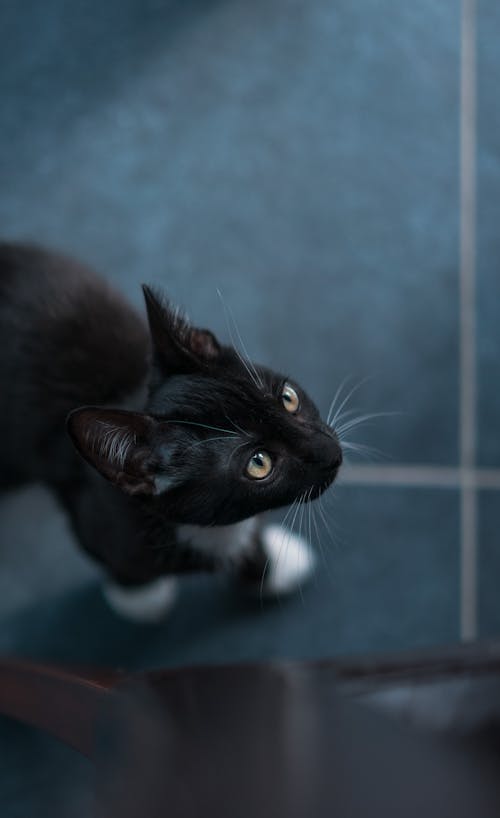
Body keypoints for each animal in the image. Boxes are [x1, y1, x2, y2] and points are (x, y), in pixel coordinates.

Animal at [0, 242, 342, 620]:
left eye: (288, 398)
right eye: (259, 462)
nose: (332, 452)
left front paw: (273, 566)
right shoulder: (95, 520)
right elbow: (125, 567)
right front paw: (142, 599)